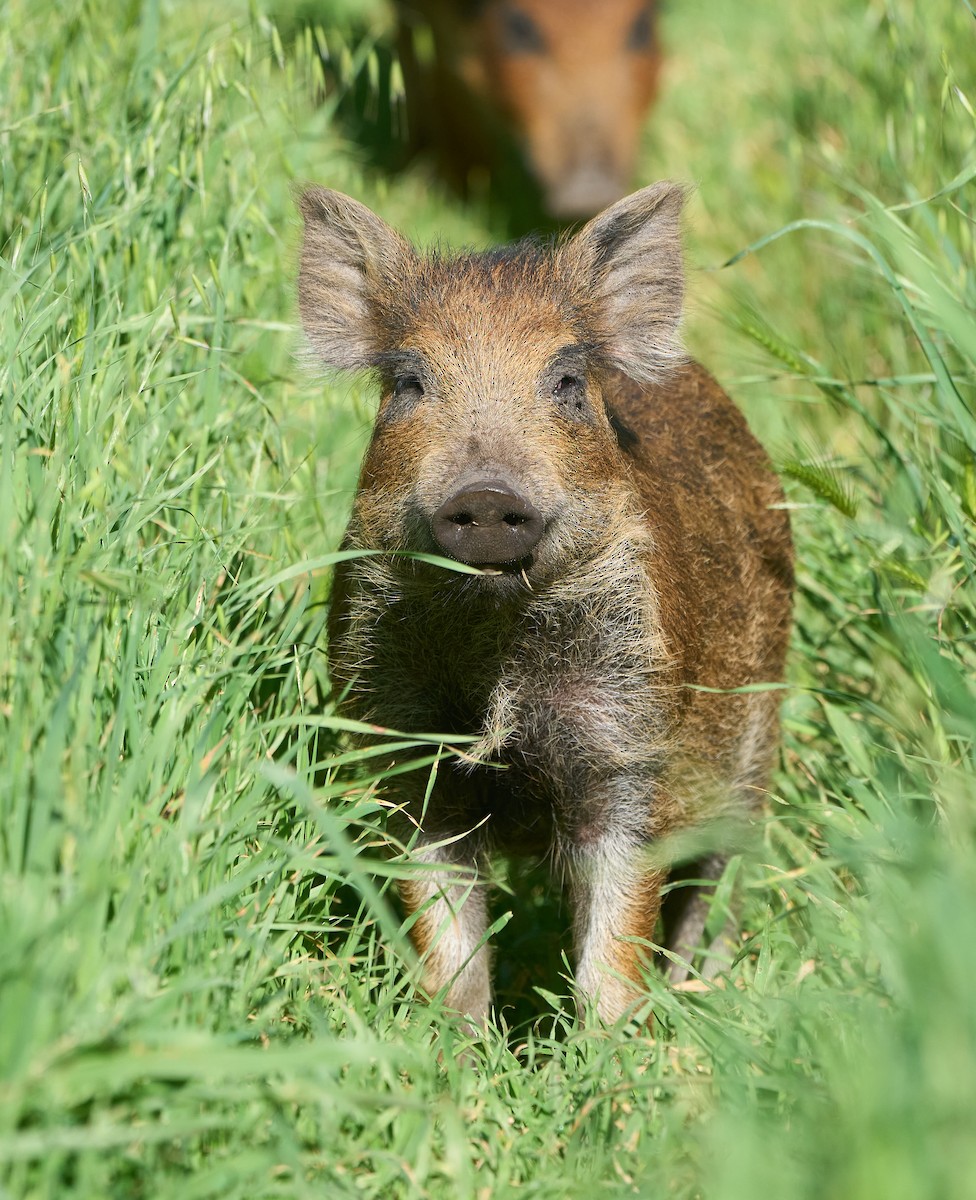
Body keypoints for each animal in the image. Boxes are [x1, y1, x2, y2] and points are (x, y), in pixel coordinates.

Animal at [297, 181, 793, 1027]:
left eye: (565, 382)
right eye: (410, 383)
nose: (488, 496)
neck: (497, 654)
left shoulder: (629, 754)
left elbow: (617, 936)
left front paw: (609, 1042)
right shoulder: (409, 756)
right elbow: (446, 935)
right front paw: (457, 1043)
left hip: (756, 747)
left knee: (717, 883)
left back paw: (701, 990)